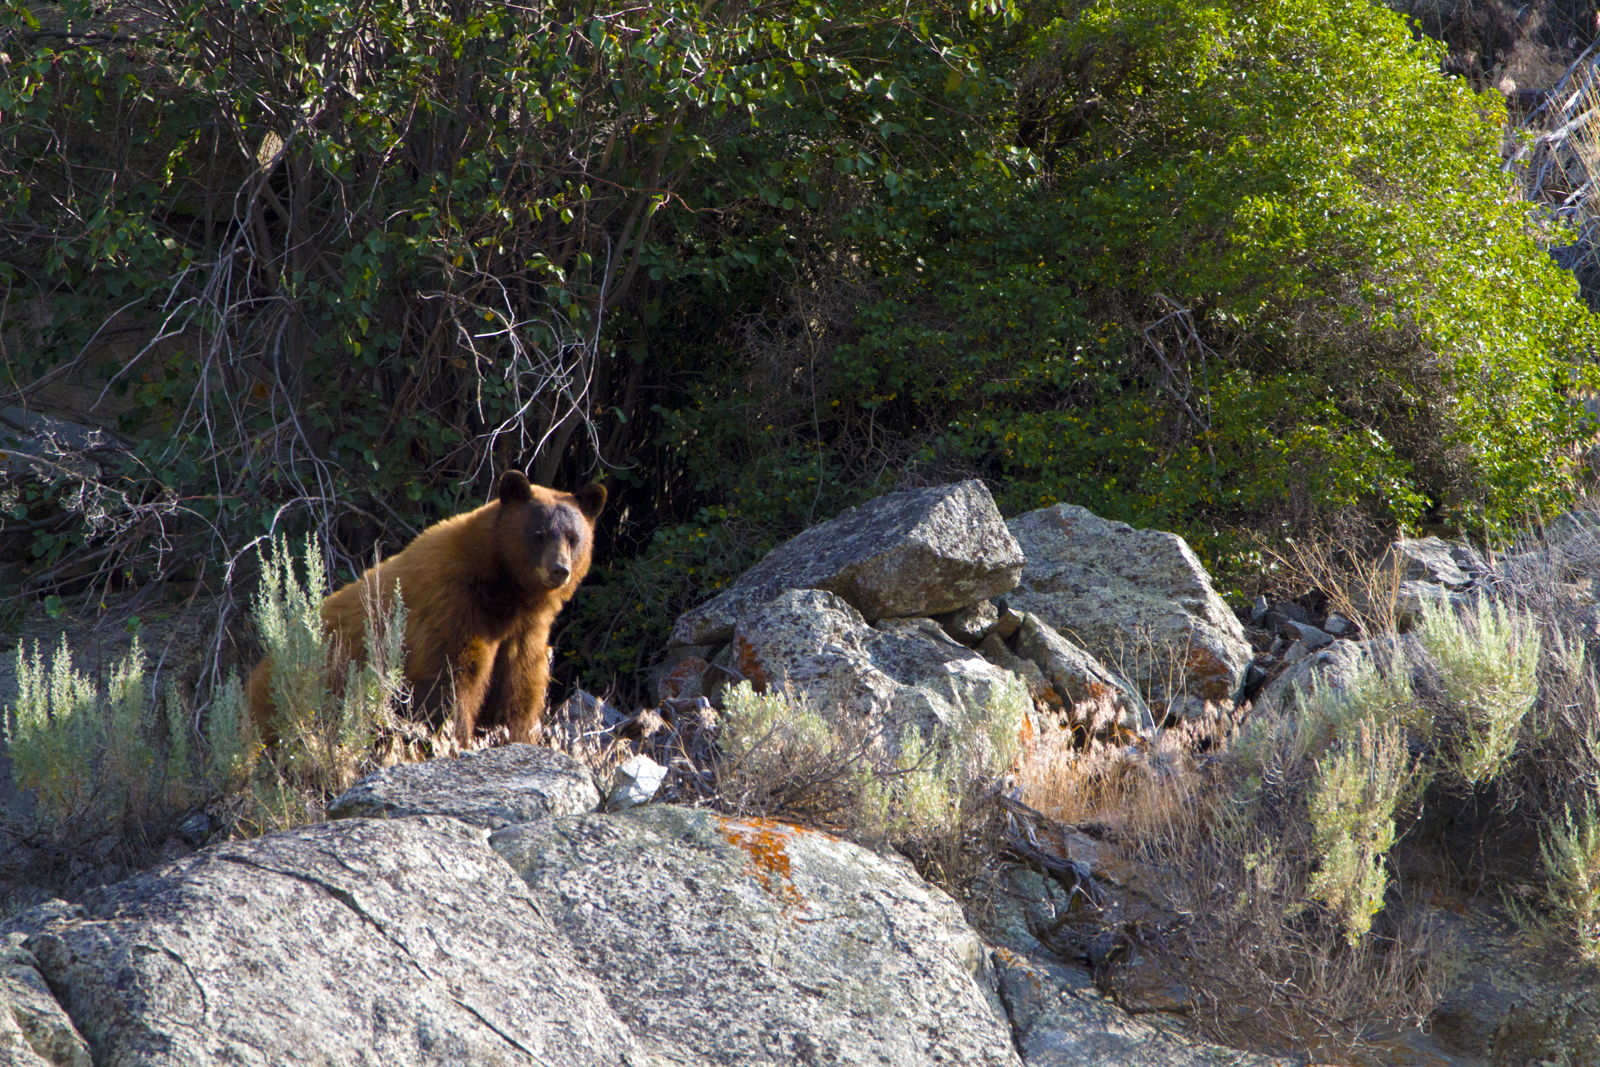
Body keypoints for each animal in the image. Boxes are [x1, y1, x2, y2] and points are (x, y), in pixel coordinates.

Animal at [247, 471, 606, 745]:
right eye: (539, 533)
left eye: (574, 537)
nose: (559, 570)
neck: (501, 591)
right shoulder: (451, 604)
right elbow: (449, 682)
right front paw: (455, 740)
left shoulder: (524, 631)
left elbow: (518, 690)